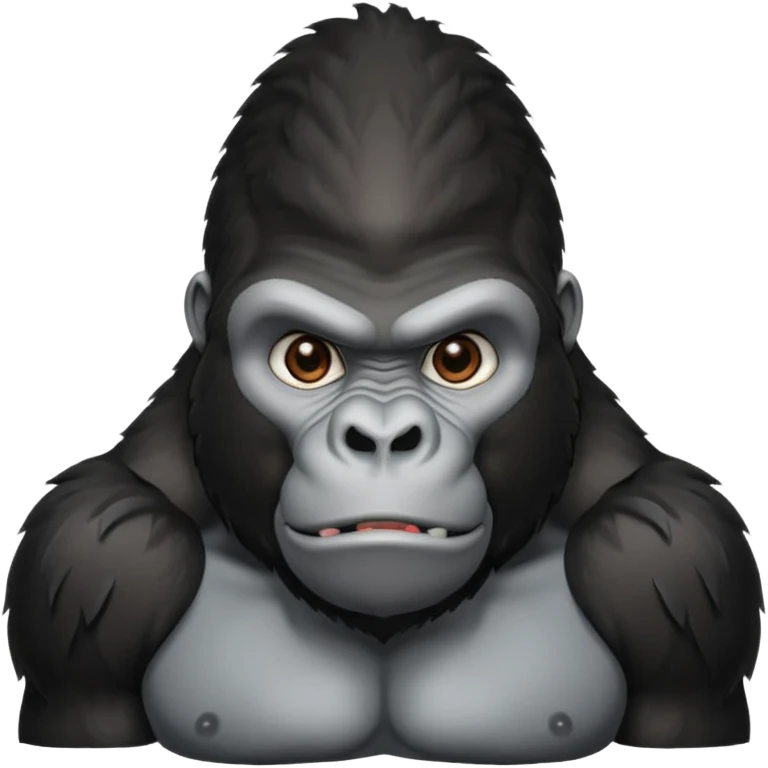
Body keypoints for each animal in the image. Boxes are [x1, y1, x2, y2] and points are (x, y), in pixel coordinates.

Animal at [4, 2, 763, 764]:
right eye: (306, 358)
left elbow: (639, 540)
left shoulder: (678, 563)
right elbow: (128, 540)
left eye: (458, 358)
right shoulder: (90, 562)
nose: (382, 437)